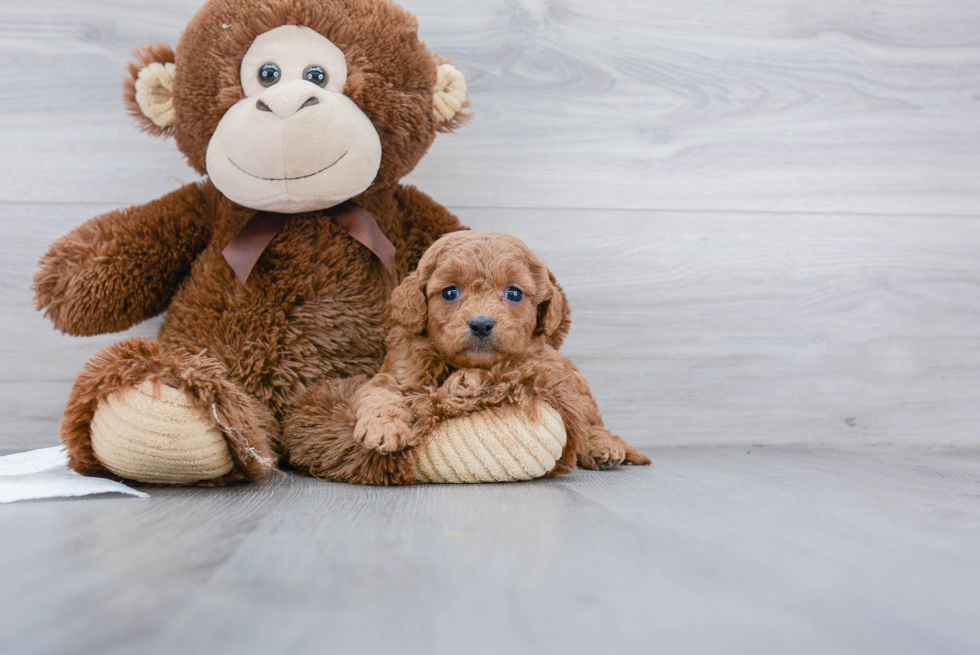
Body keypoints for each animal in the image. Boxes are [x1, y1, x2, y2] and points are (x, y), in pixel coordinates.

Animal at [348, 232, 648, 476]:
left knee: (588, 423)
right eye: (450, 292)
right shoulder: (398, 373)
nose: (481, 324)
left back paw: (603, 447)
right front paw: (384, 429)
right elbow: (380, 395)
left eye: (514, 293)